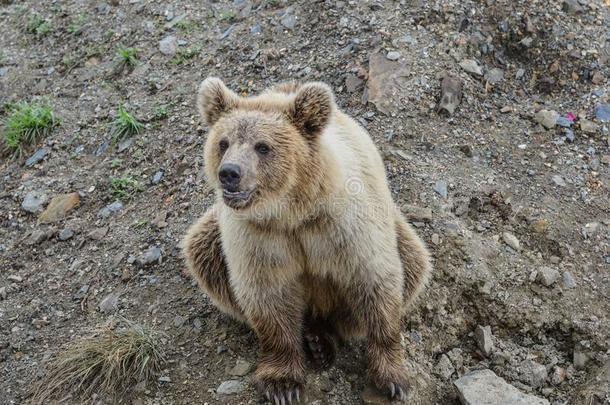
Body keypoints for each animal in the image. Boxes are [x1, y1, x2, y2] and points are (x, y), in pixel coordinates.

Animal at [182, 77, 432, 402]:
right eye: (223, 143)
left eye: (263, 146)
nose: (230, 173)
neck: (292, 213)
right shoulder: (258, 236)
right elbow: (268, 294)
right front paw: (282, 384)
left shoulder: (344, 225)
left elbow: (375, 279)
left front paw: (392, 378)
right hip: (213, 235)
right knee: (203, 253)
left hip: (398, 230)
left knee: (414, 263)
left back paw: (322, 341)